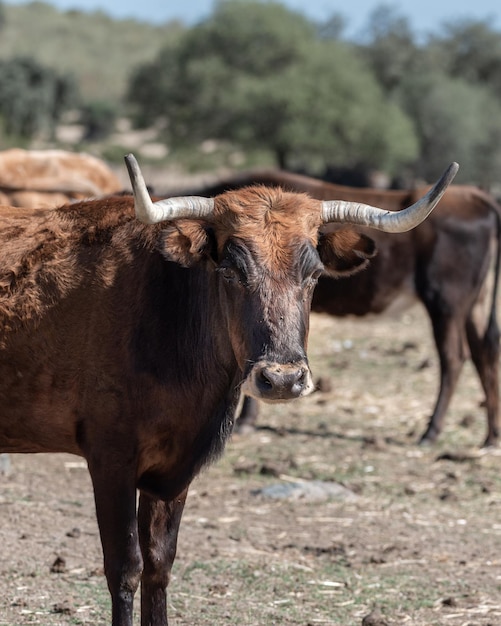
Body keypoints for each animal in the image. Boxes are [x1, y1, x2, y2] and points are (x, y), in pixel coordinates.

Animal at [0, 152, 456, 624]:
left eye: (313, 274)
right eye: (232, 271)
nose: (282, 378)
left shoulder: (174, 470)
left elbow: (159, 565)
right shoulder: (110, 459)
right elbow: (125, 568)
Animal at [176, 168, 500, 446]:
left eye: (315, 273)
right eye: (230, 271)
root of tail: (476, 196)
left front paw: (247, 421)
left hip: (447, 304)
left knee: (453, 358)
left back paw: (431, 431)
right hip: (474, 305)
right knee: (484, 354)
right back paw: (491, 437)